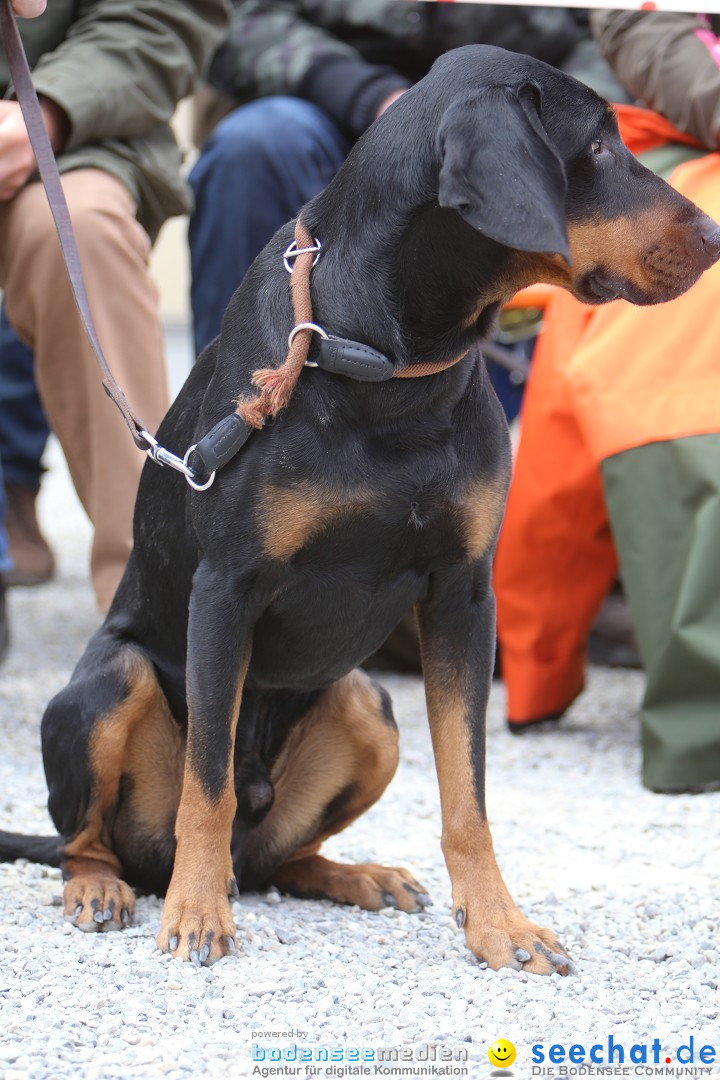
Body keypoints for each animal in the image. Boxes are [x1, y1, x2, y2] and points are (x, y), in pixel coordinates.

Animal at [1, 46, 720, 972]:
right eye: (596, 145)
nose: (714, 236)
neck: (389, 363)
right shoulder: (225, 590)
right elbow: (207, 783)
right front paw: (195, 914)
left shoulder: (463, 593)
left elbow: (467, 795)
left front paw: (499, 923)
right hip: (110, 689)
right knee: (100, 838)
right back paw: (109, 888)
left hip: (367, 705)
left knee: (281, 856)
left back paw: (356, 875)